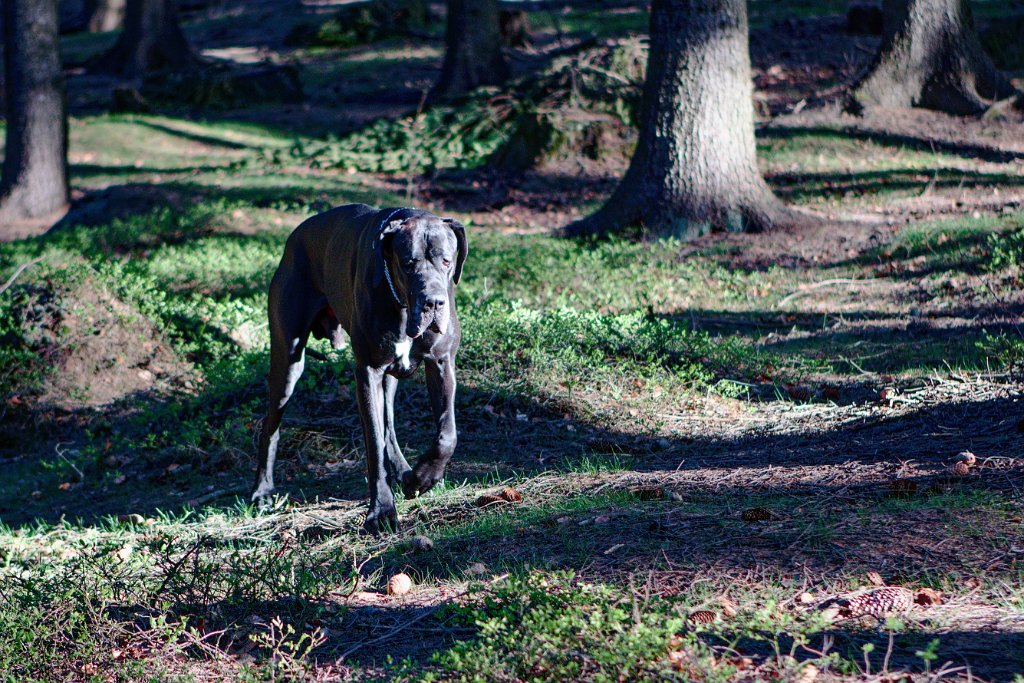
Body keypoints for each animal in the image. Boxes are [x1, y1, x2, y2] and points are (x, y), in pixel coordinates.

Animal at [251, 202, 468, 532]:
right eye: (407, 264)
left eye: (446, 260)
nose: (433, 303)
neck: (401, 305)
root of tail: (295, 236)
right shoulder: (367, 372)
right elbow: (374, 445)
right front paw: (382, 511)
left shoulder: (441, 363)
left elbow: (447, 435)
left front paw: (423, 478)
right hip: (288, 362)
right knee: (270, 425)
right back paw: (262, 491)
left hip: (390, 376)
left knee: (390, 426)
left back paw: (406, 474)